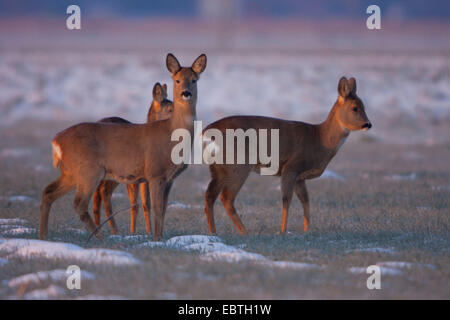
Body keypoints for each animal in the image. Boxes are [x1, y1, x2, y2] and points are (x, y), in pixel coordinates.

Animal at [91, 82, 172, 235]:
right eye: (170, 109)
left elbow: (147, 203)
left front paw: (148, 231)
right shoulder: (133, 176)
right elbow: (136, 205)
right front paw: (135, 232)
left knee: (98, 193)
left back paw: (99, 227)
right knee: (103, 192)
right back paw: (113, 229)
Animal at [204, 75, 372, 235]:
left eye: (364, 106)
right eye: (355, 108)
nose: (368, 124)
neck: (319, 139)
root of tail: (208, 130)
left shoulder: (300, 177)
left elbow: (305, 199)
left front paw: (307, 229)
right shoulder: (291, 167)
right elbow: (286, 199)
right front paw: (283, 231)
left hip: (218, 168)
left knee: (210, 195)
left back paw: (213, 231)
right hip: (238, 164)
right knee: (226, 197)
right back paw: (244, 232)